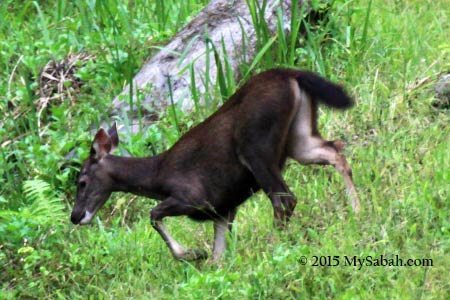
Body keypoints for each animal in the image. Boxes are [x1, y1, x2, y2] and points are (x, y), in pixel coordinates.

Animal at [70, 69, 360, 262]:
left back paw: (275, 243)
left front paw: (190, 253)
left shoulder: (193, 197)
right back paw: (357, 210)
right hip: (298, 139)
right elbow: (218, 258)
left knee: (285, 199)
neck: (158, 177)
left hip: (256, 148)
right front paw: (204, 258)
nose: (75, 216)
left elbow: (153, 215)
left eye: (81, 181)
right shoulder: (223, 209)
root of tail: (290, 73)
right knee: (336, 150)